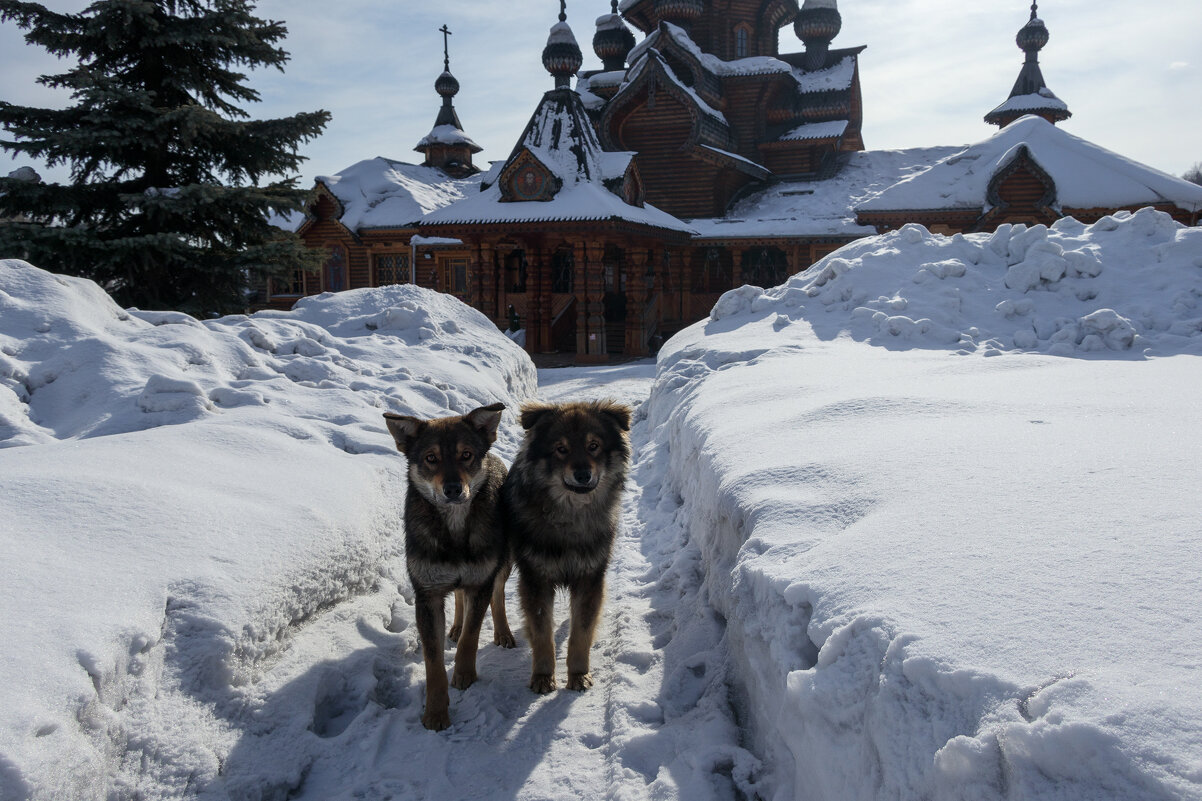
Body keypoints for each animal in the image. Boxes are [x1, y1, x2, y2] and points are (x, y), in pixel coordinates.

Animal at [382, 401, 514, 726]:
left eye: (466, 455)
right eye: (431, 458)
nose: (453, 489)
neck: (454, 529)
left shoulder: (480, 581)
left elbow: (471, 636)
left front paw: (465, 674)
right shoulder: (428, 594)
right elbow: (433, 661)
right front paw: (435, 712)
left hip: (504, 562)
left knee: (498, 595)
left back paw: (503, 632)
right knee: (457, 596)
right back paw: (454, 626)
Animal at [500, 399, 634, 692]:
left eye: (593, 445)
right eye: (561, 449)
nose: (583, 474)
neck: (570, 516)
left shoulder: (589, 577)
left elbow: (581, 631)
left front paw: (579, 674)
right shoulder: (536, 578)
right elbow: (541, 633)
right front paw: (542, 677)